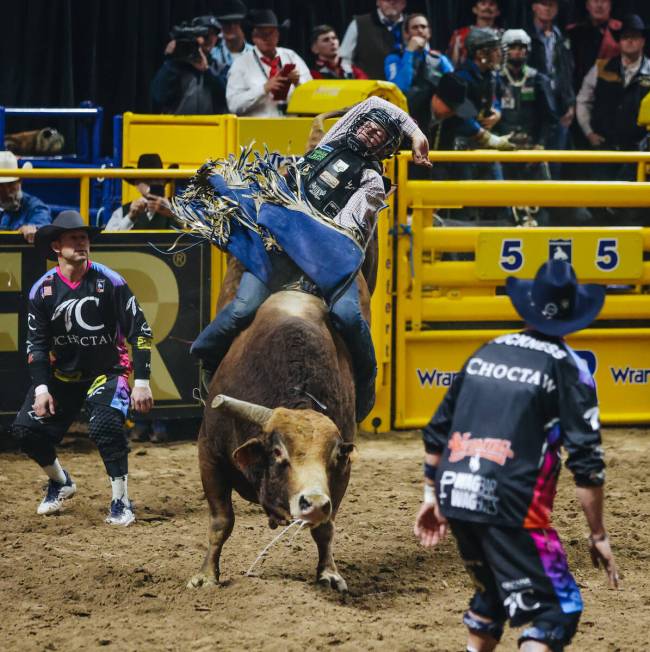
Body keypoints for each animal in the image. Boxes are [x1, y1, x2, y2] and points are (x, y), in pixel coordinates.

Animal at [186, 258, 370, 592]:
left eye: (333, 456)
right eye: (277, 453)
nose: (314, 503)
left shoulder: (342, 473)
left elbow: (326, 528)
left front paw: (329, 573)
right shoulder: (209, 453)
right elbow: (221, 521)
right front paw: (206, 575)